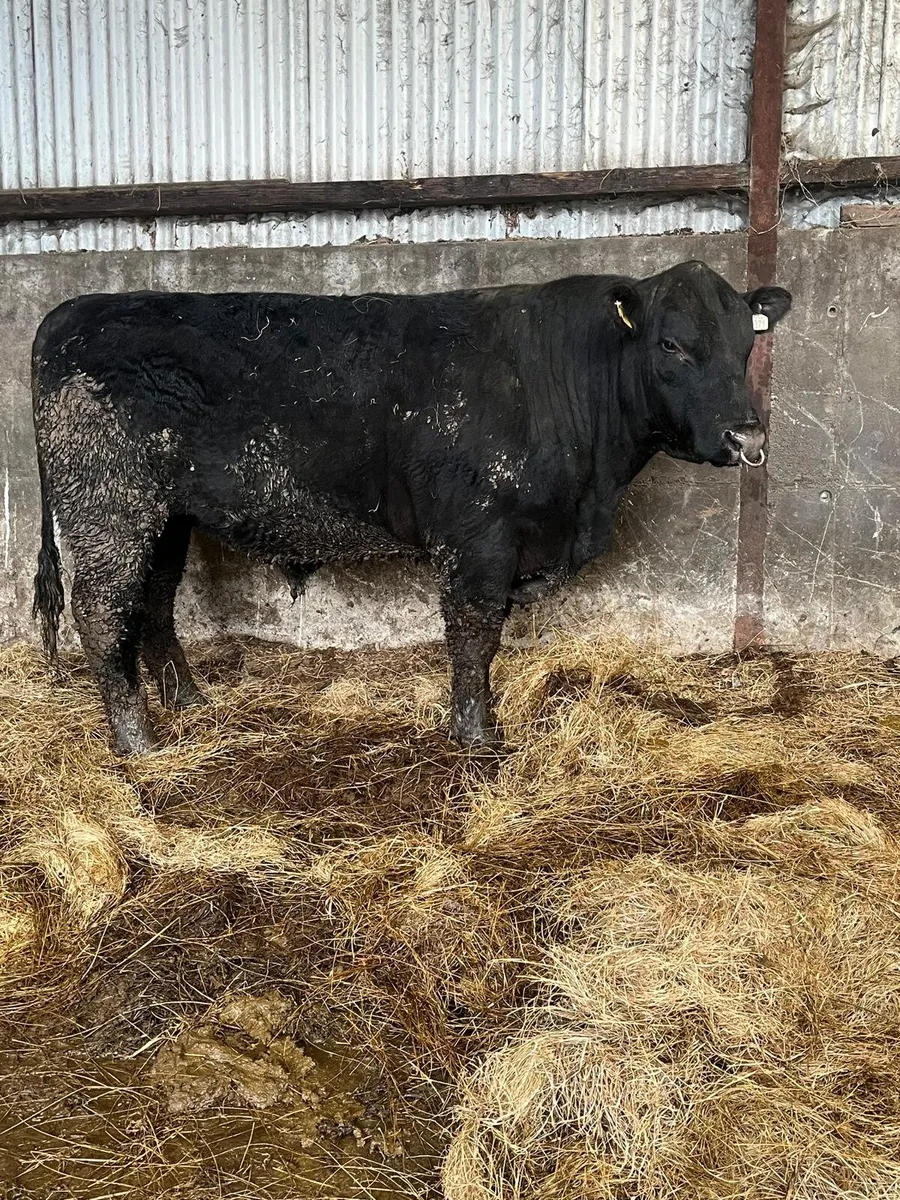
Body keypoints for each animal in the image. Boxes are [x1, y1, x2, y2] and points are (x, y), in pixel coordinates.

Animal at [31, 261, 791, 756]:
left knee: (154, 602)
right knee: (103, 613)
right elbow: (476, 635)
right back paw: (137, 740)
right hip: (109, 508)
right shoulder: (478, 537)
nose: (748, 435)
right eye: (671, 343)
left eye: (747, 344)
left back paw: (187, 702)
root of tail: (72, 311)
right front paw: (477, 735)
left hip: (166, 516)